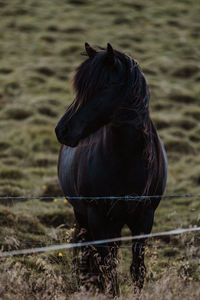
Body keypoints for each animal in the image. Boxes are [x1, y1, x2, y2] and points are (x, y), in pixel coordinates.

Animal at [54, 43, 167, 296]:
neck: (126, 161)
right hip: (85, 216)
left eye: (102, 88)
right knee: (88, 254)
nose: (61, 130)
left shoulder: (144, 219)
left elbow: (137, 270)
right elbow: (109, 269)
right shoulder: (98, 218)